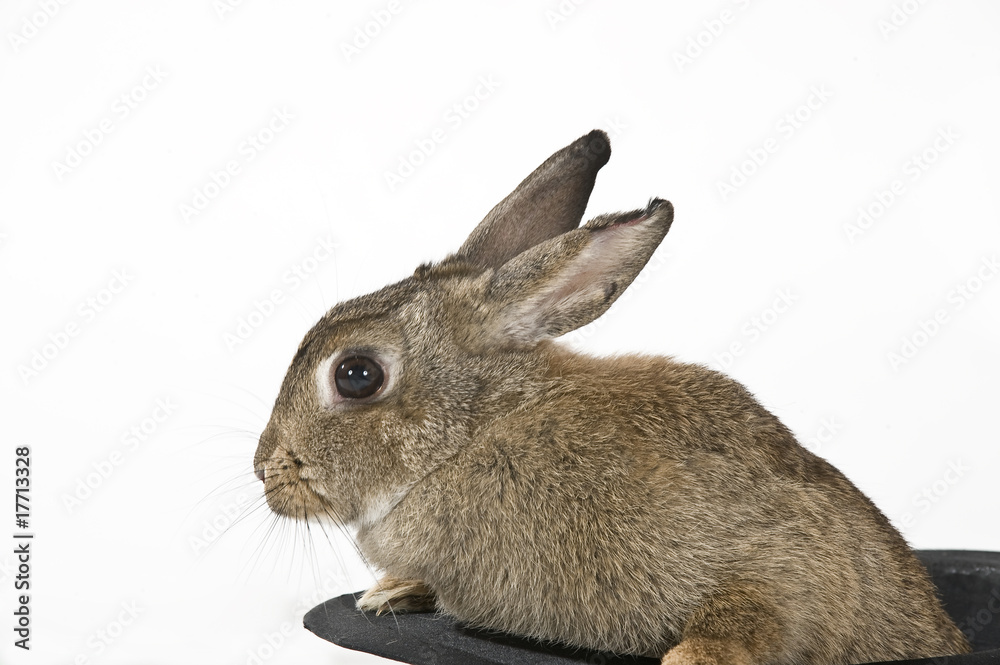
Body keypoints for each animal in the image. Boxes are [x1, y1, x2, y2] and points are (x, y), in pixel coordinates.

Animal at [253, 130, 971, 665]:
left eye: (356, 375)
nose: (265, 470)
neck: (473, 433)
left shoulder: (777, 560)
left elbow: (759, 606)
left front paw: (694, 657)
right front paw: (392, 591)